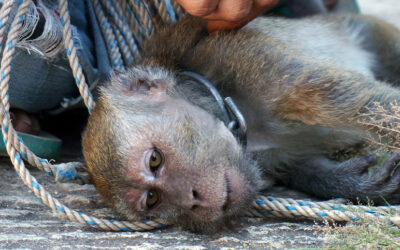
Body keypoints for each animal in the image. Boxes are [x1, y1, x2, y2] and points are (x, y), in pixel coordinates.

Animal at [82, 14, 400, 231]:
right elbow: (301, 165)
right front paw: (350, 183)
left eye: (155, 160)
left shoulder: (246, 61)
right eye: (152, 199)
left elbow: (359, 101)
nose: (193, 200)